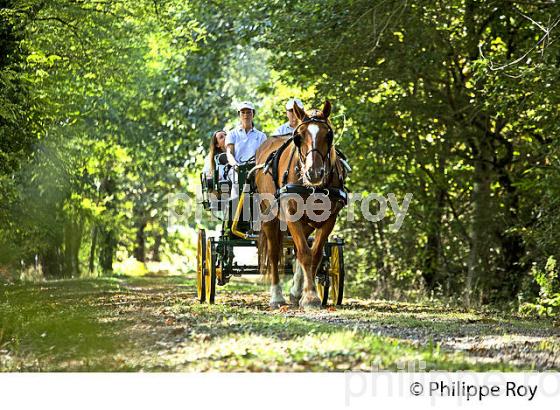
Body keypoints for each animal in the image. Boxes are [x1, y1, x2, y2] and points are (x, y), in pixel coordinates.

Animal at [258, 101, 346, 310]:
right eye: (298, 137)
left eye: (328, 135)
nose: (314, 173)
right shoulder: (291, 213)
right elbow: (305, 254)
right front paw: (311, 297)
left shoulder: (330, 218)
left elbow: (314, 254)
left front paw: (307, 295)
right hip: (269, 217)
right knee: (274, 254)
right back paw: (277, 296)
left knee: (298, 250)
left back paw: (296, 292)